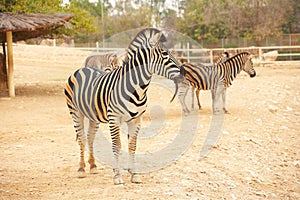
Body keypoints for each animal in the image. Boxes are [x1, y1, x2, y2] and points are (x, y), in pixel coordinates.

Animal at [64, 27, 184, 184]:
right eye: (165, 55)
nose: (184, 74)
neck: (137, 89)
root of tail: (82, 69)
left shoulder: (136, 119)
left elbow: (132, 146)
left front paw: (134, 174)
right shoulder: (114, 119)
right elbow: (117, 145)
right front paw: (117, 175)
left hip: (93, 116)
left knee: (90, 137)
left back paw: (93, 165)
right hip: (76, 112)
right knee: (82, 138)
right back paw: (81, 169)